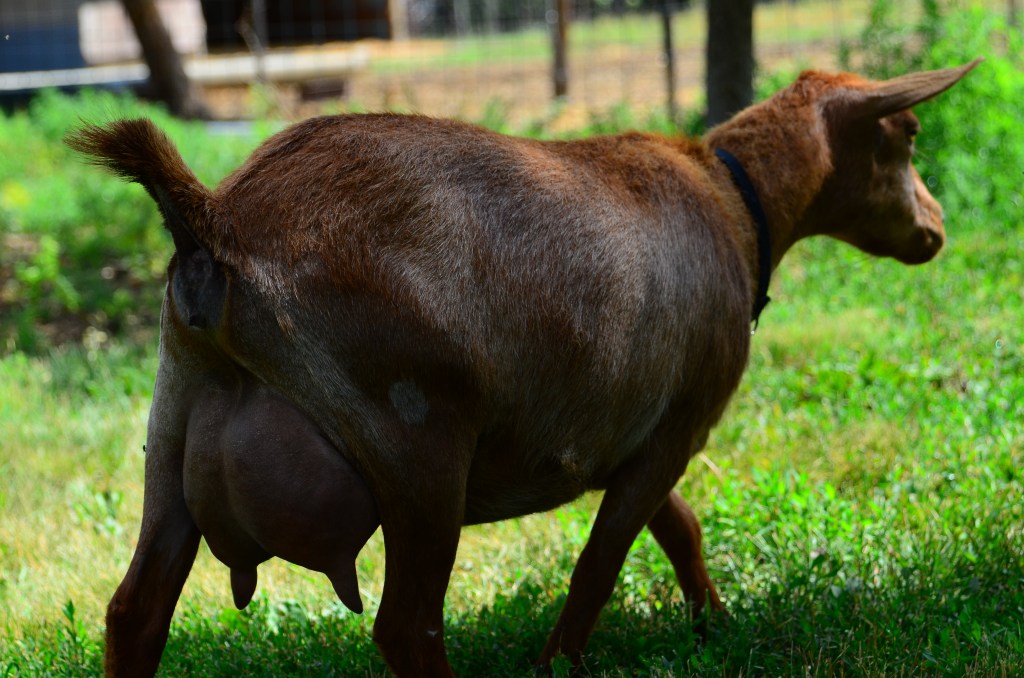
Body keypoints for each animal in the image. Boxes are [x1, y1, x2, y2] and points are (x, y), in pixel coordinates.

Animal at [68, 59, 978, 676]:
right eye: (908, 135)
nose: (934, 230)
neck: (733, 198)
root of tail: (216, 222)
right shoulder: (677, 425)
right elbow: (602, 563)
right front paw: (562, 664)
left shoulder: (631, 430)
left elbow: (677, 528)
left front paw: (712, 622)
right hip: (417, 443)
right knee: (407, 626)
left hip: (173, 423)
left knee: (134, 612)